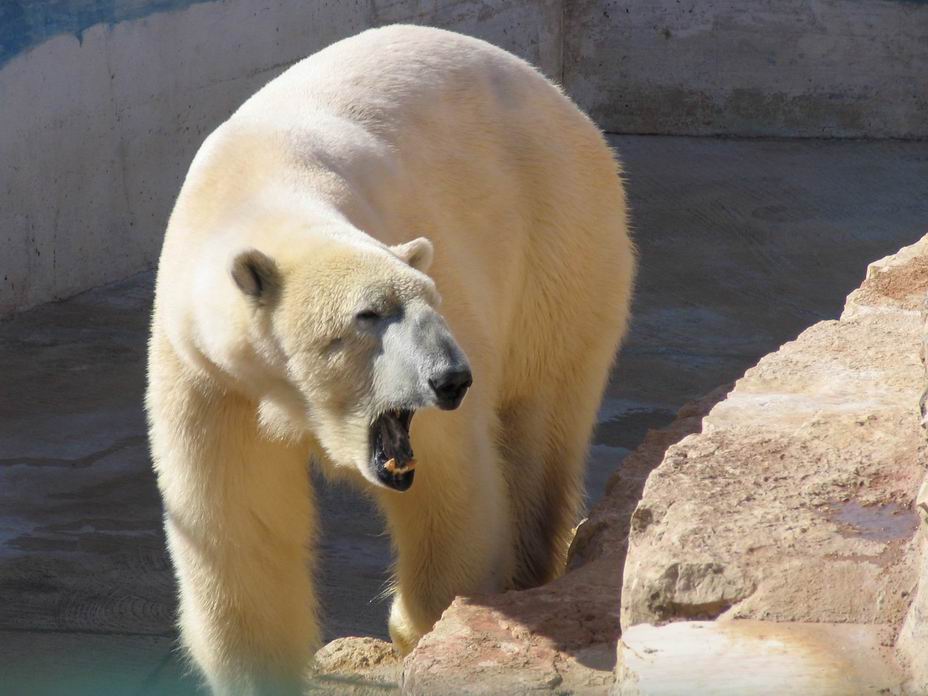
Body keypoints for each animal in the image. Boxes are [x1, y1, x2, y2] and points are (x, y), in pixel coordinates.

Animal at [146, 24, 635, 695]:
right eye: (367, 315)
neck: (260, 183)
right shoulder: (210, 380)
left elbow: (450, 485)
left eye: (430, 301)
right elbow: (238, 526)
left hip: (559, 239)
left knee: (538, 417)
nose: (451, 378)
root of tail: (562, 99)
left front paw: (424, 628)